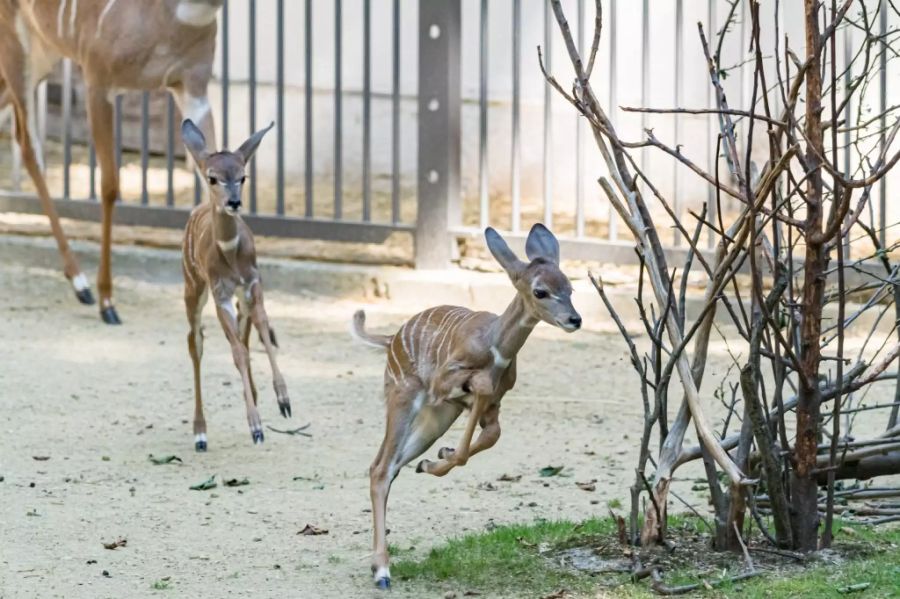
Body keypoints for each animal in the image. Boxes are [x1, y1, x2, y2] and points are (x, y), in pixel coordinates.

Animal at [0, 0, 222, 326]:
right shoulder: (98, 80)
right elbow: (108, 188)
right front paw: (107, 301)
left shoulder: (192, 86)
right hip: (17, 45)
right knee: (29, 148)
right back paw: (81, 283)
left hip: (43, 51)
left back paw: (79, 285)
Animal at [182, 120, 292, 450]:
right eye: (212, 177)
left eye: (243, 176)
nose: (233, 202)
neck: (231, 254)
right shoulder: (221, 294)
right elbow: (238, 352)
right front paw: (255, 426)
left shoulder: (253, 284)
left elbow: (263, 334)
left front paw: (283, 400)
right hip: (193, 287)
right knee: (196, 341)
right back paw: (200, 433)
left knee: (244, 336)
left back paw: (253, 396)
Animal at [352, 223, 584, 588]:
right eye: (541, 291)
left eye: (570, 287)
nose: (575, 319)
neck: (494, 350)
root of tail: (390, 340)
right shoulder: (444, 385)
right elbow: (478, 395)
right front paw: (445, 454)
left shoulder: (488, 405)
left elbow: (490, 435)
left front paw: (438, 459)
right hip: (404, 396)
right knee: (379, 467)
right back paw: (383, 572)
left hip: (437, 418)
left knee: (394, 466)